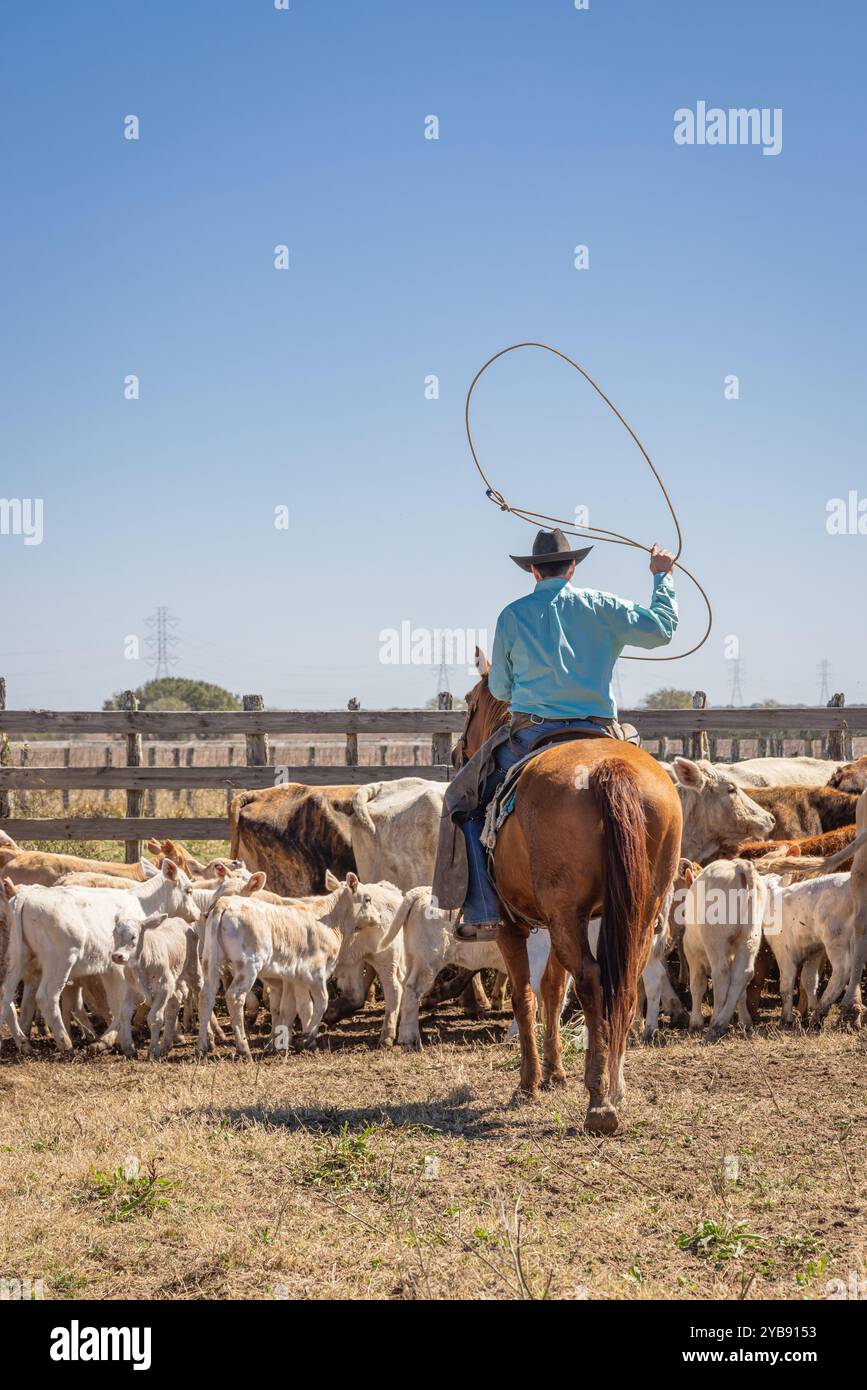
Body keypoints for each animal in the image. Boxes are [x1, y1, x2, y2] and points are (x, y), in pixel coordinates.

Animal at [452, 656, 683, 1134]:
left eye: (468, 701)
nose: (455, 753)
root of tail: (607, 769)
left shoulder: (511, 925)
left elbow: (524, 995)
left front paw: (529, 1084)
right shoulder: (558, 920)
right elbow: (554, 992)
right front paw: (555, 1073)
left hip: (564, 917)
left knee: (592, 979)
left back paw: (599, 1101)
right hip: (629, 909)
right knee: (623, 983)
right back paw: (615, 1087)